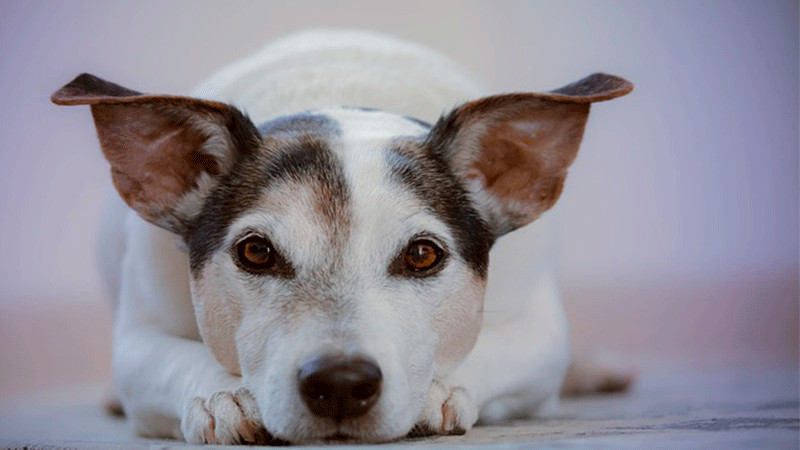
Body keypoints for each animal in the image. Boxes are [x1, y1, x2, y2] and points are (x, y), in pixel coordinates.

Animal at [53, 30, 636, 442]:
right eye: (255, 252)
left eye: (422, 255)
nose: (339, 383)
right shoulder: (138, 336)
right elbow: (171, 358)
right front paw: (225, 395)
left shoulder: (539, 329)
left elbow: (491, 349)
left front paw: (438, 389)